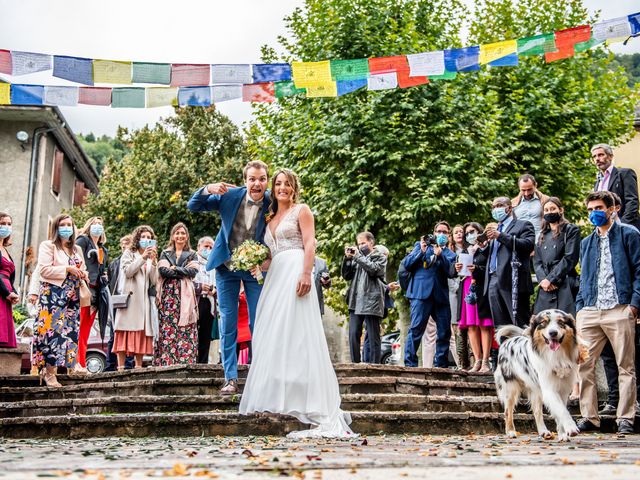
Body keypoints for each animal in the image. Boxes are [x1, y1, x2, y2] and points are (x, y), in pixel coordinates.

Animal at [492, 310, 588, 440]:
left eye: (561, 322)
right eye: (543, 323)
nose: (553, 333)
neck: (556, 355)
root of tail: (509, 341)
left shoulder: (563, 389)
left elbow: (560, 410)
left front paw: (562, 434)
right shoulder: (549, 389)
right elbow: (562, 410)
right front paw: (571, 428)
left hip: (536, 390)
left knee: (537, 411)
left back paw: (543, 431)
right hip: (510, 387)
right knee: (508, 411)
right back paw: (511, 431)